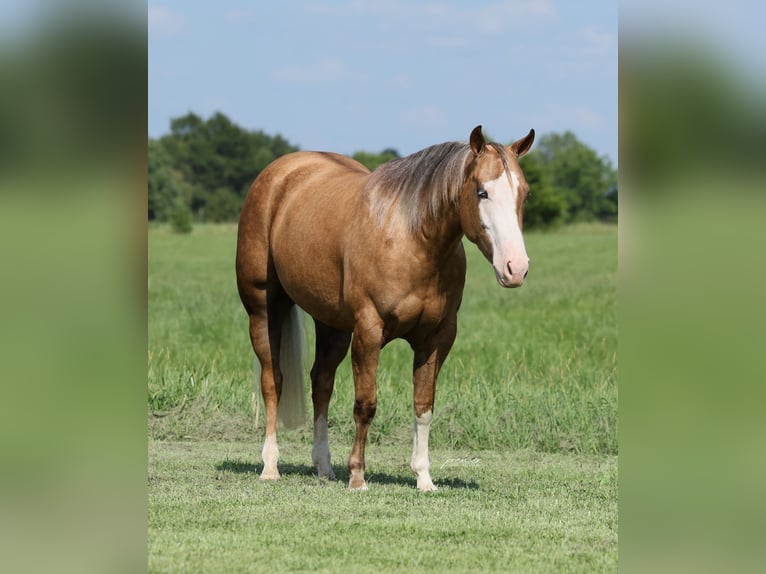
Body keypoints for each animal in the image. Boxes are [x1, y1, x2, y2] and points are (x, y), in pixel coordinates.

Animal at [235, 125, 535, 491]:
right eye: (482, 193)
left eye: (524, 194)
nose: (515, 268)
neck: (411, 237)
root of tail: (277, 174)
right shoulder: (369, 330)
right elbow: (366, 404)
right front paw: (357, 477)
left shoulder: (437, 338)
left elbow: (423, 406)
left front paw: (424, 478)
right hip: (264, 310)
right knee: (272, 381)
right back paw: (270, 466)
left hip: (332, 324)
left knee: (321, 383)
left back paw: (324, 466)